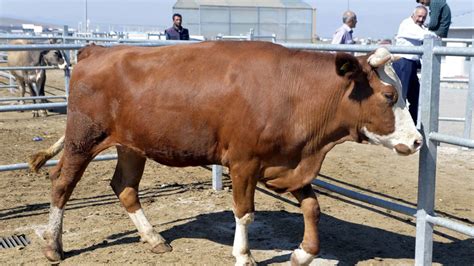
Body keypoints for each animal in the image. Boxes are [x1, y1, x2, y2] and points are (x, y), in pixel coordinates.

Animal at [30, 41, 422, 264]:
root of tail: (97, 49)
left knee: (125, 188)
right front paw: (244, 255)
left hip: (131, 144)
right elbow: (244, 213)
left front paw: (303, 253)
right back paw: (53, 245)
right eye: (389, 95)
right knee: (61, 182)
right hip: (83, 138)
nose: (418, 141)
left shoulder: (287, 162)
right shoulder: (244, 162)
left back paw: (154, 238)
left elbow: (312, 208)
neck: (293, 93)